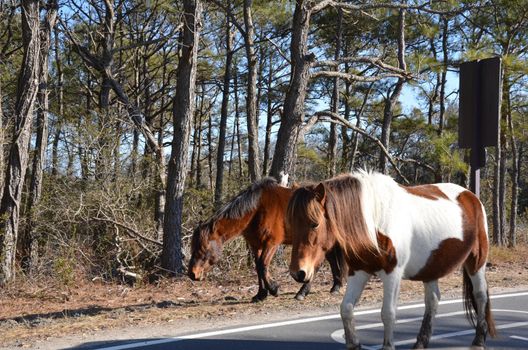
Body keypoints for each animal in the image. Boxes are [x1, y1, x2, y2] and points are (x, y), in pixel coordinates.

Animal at [189, 178, 346, 300]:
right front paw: (261, 294)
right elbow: (258, 268)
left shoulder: (271, 244)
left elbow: (263, 266)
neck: (258, 210)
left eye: (204, 248)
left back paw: (304, 292)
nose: (192, 274)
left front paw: (273, 288)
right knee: (331, 260)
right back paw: (335, 286)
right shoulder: (255, 245)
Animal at [284, 172, 496, 350]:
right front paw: (354, 344)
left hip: (476, 262)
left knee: (480, 295)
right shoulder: (358, 271)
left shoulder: (392, 273)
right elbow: (346, 309)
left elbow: (388, 313)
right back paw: (421, 342)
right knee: (433, 300)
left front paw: (388, 345)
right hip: (431, 267)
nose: (298, 272)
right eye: (292, 223)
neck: (373, 220)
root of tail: (471, 196)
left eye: (314, 223)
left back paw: (478, 341)